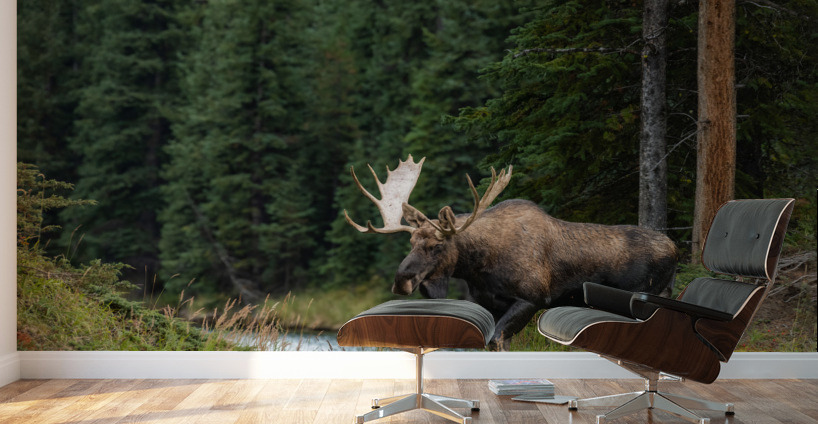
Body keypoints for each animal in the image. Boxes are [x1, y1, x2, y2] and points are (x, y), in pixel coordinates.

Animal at [344, 155, 678, 350]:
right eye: (411, 242)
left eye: (437, 245)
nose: (402, 281)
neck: (478, 268)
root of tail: (675, 248)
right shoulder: (487, 303)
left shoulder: (533, 299)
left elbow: (497, 342)